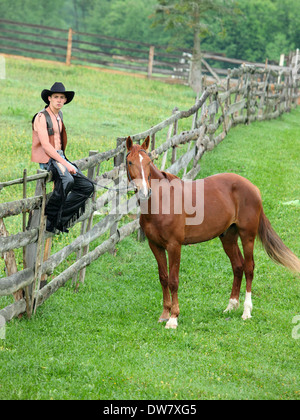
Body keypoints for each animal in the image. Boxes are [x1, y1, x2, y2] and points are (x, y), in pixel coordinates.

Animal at [125, 136, 300, 330]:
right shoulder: (155, 245)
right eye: (130, 161)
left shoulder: (174, 246)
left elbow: (173, 280)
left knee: (249, 268)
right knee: (237, 266)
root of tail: (253, 188)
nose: (144, 191)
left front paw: (173, 318)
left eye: (149, 162)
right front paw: (164, 315)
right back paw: (231, 306)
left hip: (247, 235)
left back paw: (246, 311)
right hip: (228, 237)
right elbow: (163, 278)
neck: (163, 201)